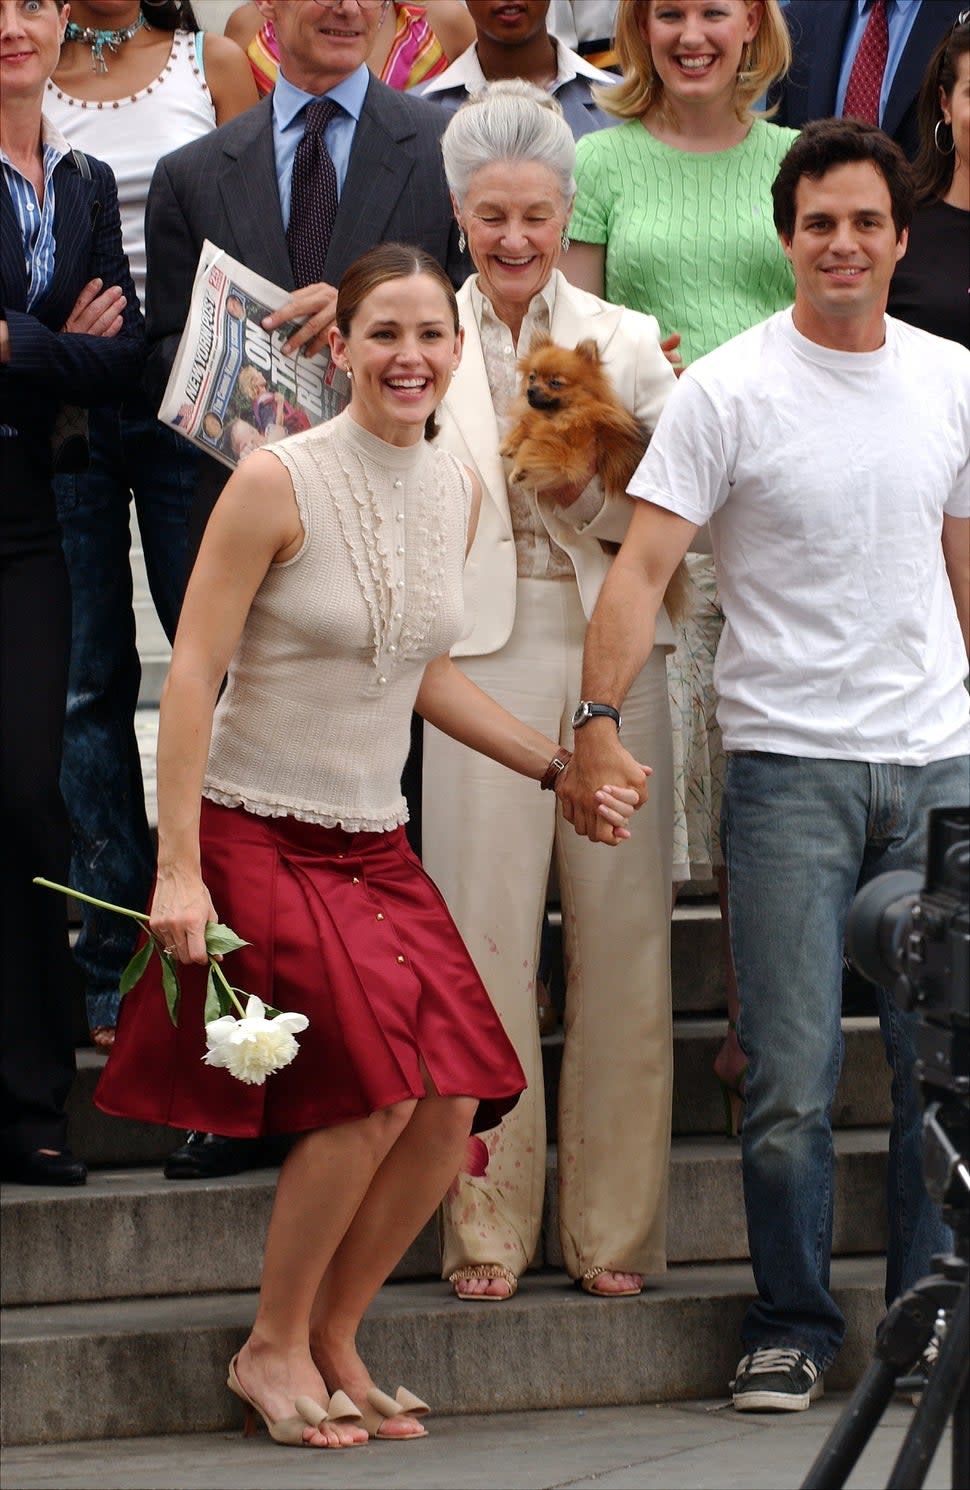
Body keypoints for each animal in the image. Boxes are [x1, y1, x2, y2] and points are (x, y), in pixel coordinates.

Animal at [500, 333, 691, 622]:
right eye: (532, 377)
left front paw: (523, 466)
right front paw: (511, 443)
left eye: (555, 383)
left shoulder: (574, 453)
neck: (561, 414)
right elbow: (528, 424)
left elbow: (543, 447)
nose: (530, 391)